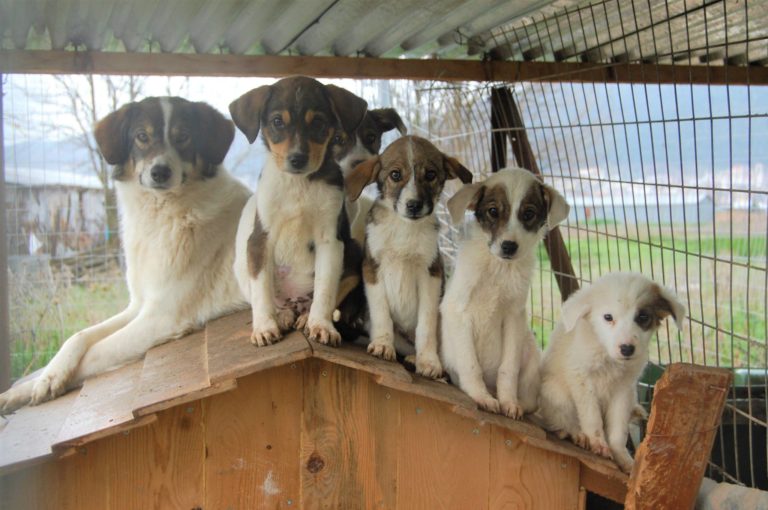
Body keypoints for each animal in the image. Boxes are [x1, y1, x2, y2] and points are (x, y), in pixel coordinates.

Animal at [0, 96, 248, 414]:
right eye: (142, 136)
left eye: (183, 136)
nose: (160, 172)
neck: (160, 216)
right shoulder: (137, 305)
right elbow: (79, 336)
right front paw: (39, 381)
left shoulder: (162, 316)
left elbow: (94, 353)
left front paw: (49, 383)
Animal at [230, 75, 368, 346]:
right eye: (277, 122)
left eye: (318, 122)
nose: (297, 159)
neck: (299, 184)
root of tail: (296, 303)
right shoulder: (260, 240)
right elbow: (261, 292)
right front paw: (264, 327)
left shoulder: (330, 241)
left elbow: (326, 290)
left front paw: (321, 326)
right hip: (242, 267)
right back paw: (282, 316)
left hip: (354, 252)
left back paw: (305, 318)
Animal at [344, 135, 474, 378]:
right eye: (395, 175)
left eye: (430, 175)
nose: (414, 205)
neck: (405, 228)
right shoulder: (372, 269)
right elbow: (381, 312)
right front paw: (382, 344)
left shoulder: (431, 274)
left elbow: (426, 324)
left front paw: (429, 361)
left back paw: (421, 361)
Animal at [438, 167, 568, 418]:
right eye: (493, 211)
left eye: (528, 213)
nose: (509, 246)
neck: (499, 268)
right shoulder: (459, 312)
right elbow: (471, 365)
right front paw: (480, 397)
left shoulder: (514, 318)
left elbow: (508, 370)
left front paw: (509, 402)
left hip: (530, 353)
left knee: (530, 399)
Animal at [536, 272, 688, 472]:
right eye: (608, 317)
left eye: (643, 316)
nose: (627, 349)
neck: (608, 357)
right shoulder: (581, 377)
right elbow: (591, 417)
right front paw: (598, 443)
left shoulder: (624, 389)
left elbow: (618, 430)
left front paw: (624, 459)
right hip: (554, 391)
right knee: (561, 419)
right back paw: (575, 433)